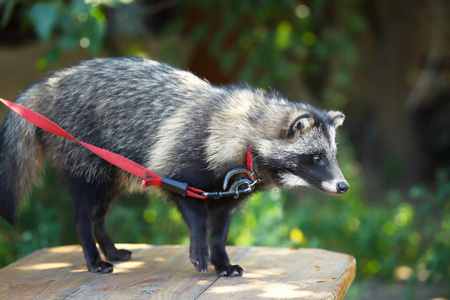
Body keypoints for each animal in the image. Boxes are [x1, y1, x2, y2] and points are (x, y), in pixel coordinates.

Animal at [0, 56, 350, 276]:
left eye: (333, 155)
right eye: (316, 157)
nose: (344, 186)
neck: (243, 135)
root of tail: (52, 81)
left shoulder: (228, 194)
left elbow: (219, 231)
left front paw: (221, 260)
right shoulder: (175, 167)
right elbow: (196, 217)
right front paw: (200, 249)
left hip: (113, 175)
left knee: (100, 215)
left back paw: (109, 248)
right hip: (87, 165)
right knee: (83, 216)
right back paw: (93, 254)